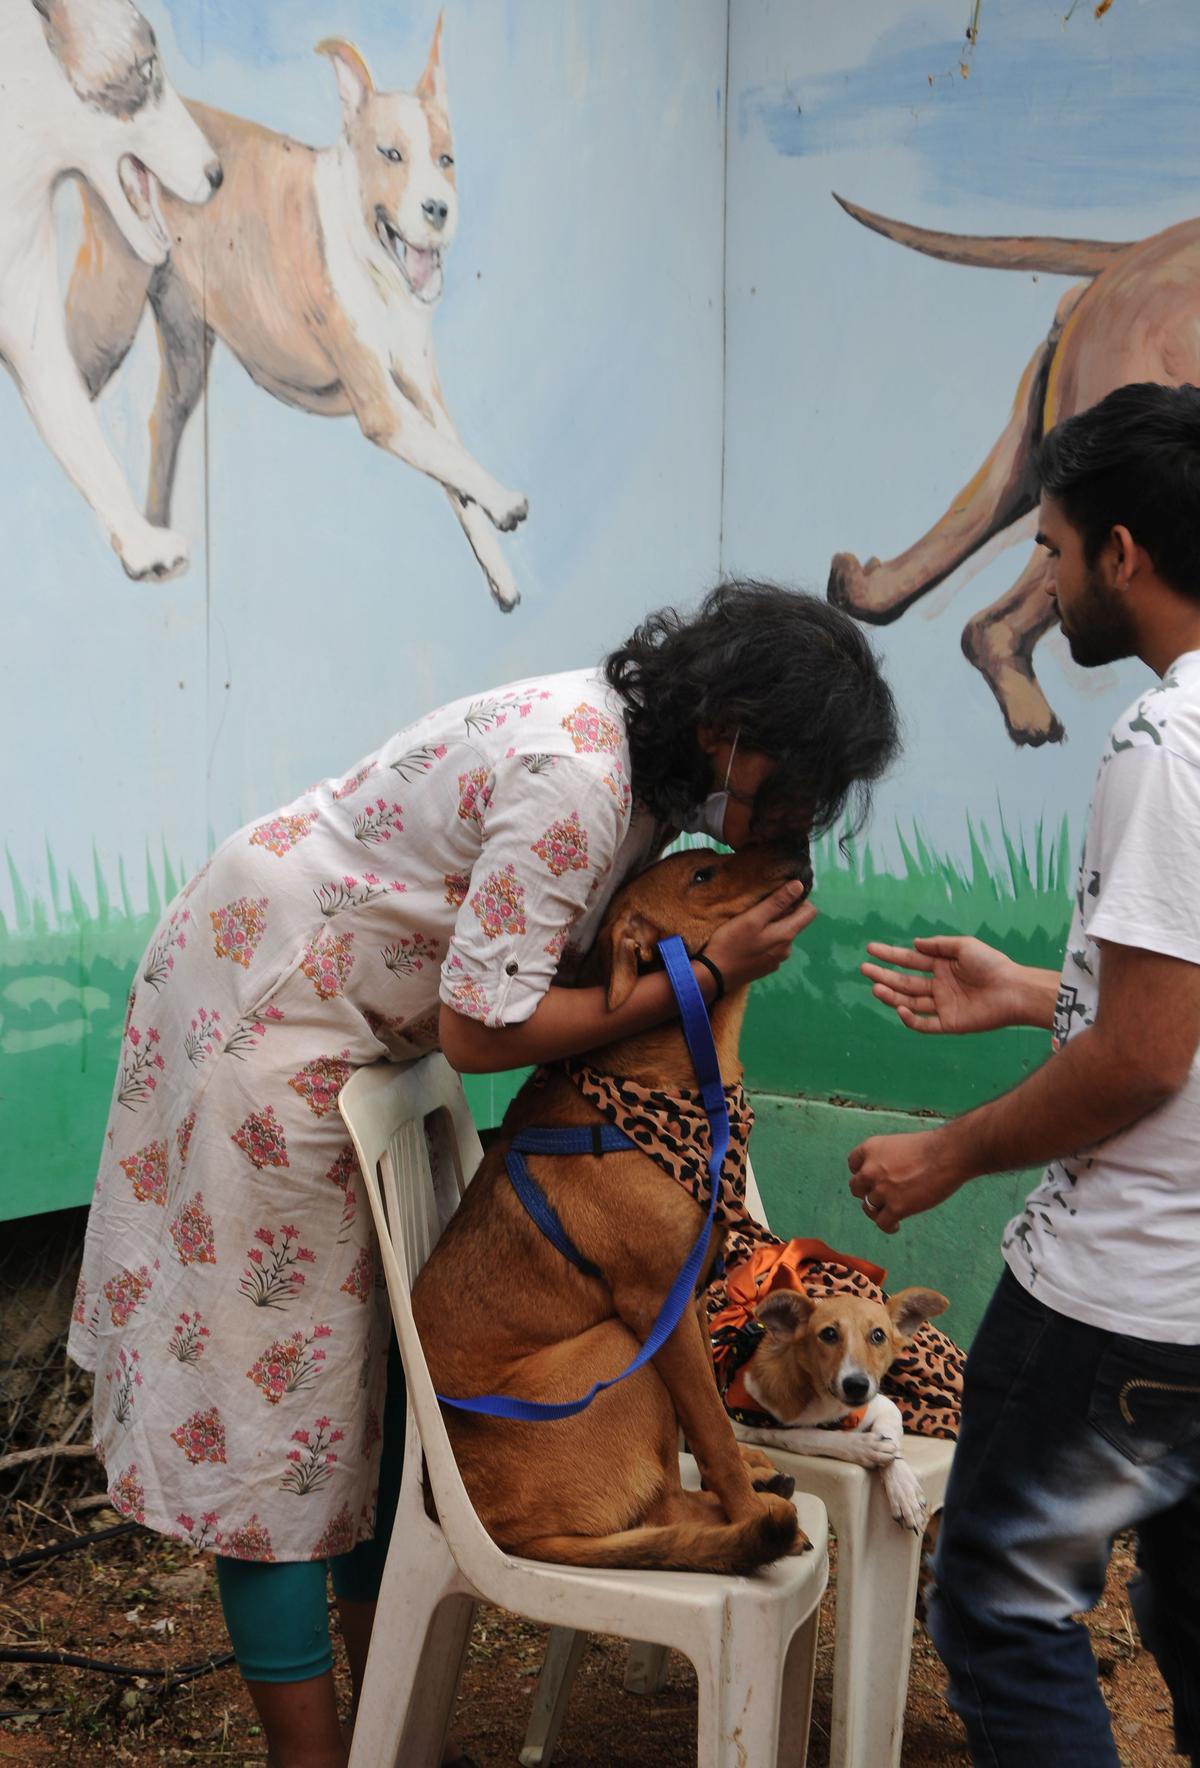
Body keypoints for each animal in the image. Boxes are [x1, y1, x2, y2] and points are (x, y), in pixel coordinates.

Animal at [66, 15, 530, 615]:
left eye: (447, 160)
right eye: (391, 154)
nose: (438, 209)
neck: (373, 264)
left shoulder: (421, 388)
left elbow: (456, 474)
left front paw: (500, 574)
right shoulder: (383, 407)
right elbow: (452, 461)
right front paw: (506, 500)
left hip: (186, 335)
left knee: (163, 416)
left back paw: (155, 538)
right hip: (110, 310)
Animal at [408, 841, 812, 1577]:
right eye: (703, 875)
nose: (796, 847)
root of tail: (506, 1540)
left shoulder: (692, 1299)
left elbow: (710, 1415)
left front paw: (748, 1465)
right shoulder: (657, 1308)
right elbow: (710, 1432)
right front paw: (743, 1500)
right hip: (617, 1347)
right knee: (665, 1509)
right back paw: (751, 1524)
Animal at [731, 1287, 947, 1534]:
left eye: (878, 1335)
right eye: (829, 1334)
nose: (856, 1385)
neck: (824, 1401)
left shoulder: (884, 1405)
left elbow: (891, 1440)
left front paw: (904, 1491)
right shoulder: (738, 1423)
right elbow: (805, 1436)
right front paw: (865, 1447)